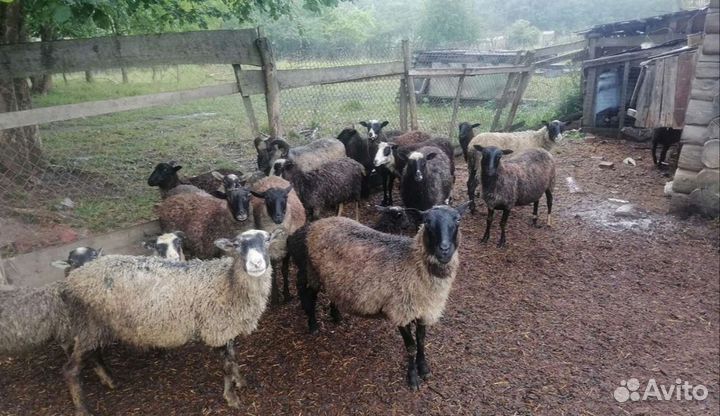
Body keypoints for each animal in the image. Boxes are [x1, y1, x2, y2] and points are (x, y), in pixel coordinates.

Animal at [60, 230, 280, 415]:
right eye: (237, 244)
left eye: (267, 240)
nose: (256, 264)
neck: (227, 283)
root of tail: (74, 277)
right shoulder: (216, 330)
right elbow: (226, 366)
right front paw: (232, 397)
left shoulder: (228, 329)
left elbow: (233, 358)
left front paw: (241, 381)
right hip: (88, 323)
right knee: (71, 370)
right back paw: (82, 408)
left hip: (95, 326)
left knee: (94, 354)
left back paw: (109, 380)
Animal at [249, 175, 306, 304]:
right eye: (267, 199)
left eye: (285, 197)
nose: (278, 217)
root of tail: (271, 176)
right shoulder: (269, 252)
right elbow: (274, 272)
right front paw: (275, 297)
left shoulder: (287, 249)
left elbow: (284, 270)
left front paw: (287, 295)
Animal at [292, 203, 470, 390]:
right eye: (427, 222)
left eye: (458, 219)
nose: (444, 250)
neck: (412, 263)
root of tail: (312, 226)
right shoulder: (400, 311)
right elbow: (411, 347)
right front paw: (413, 378)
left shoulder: (424, 310)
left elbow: (421, 341)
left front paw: (424, 369)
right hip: (311, 271)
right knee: (309, 297)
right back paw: (313, 325)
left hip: (332, 277)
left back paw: (336, 316)